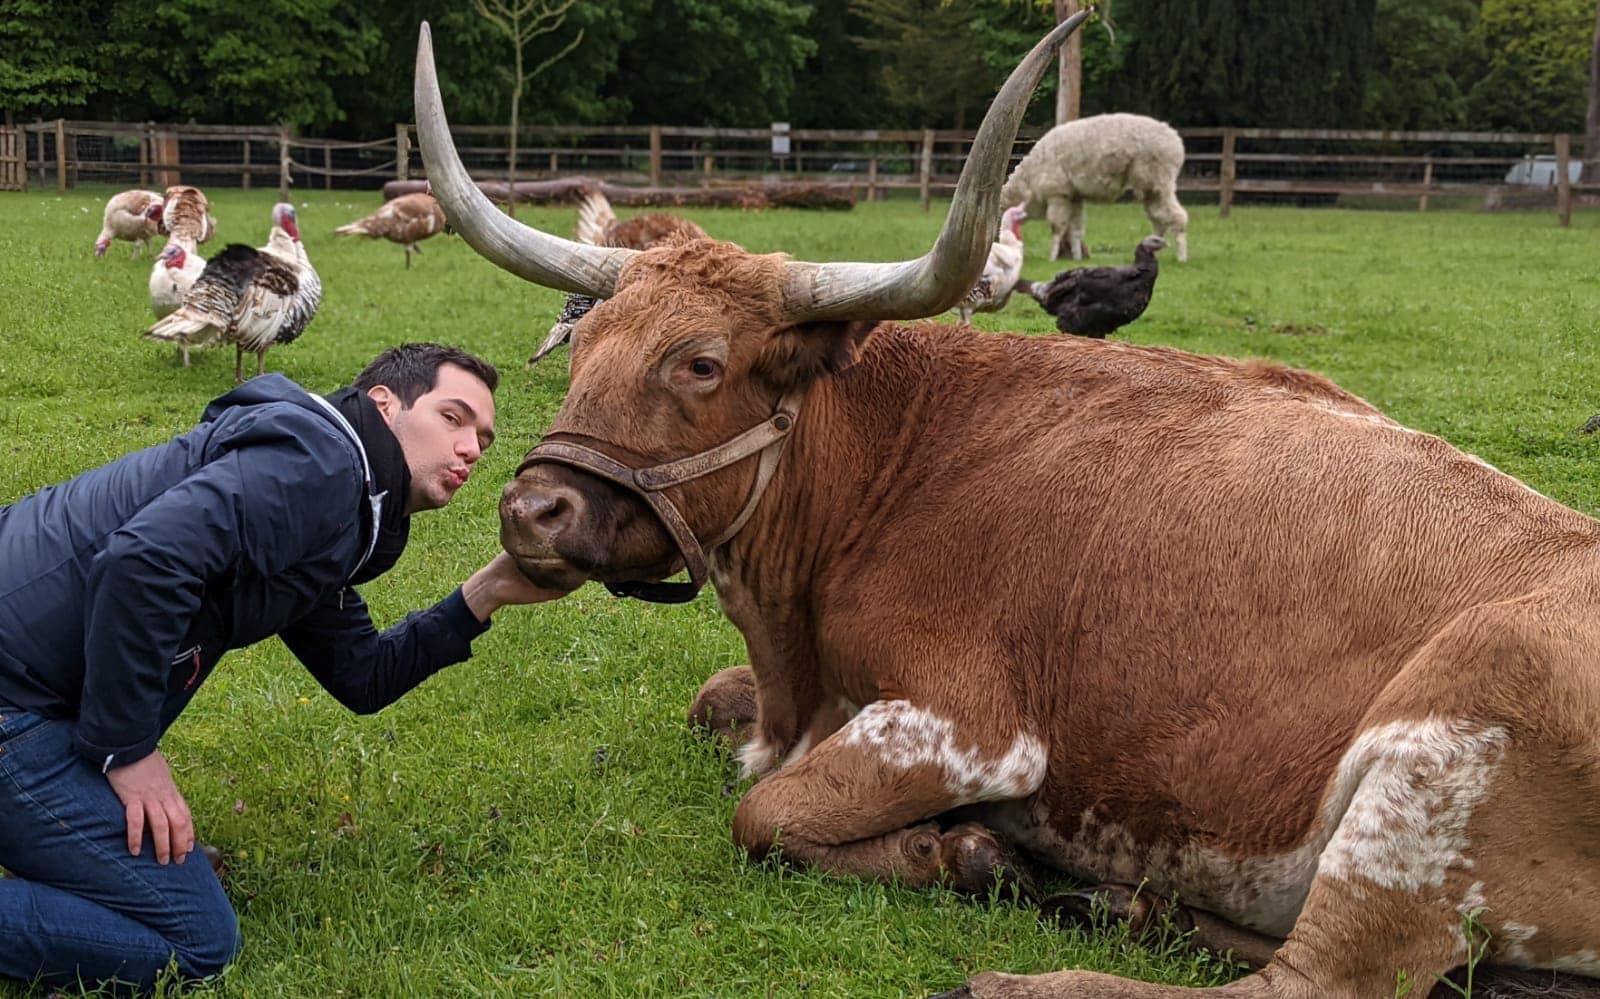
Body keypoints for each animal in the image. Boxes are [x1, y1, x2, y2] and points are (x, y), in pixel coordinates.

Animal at [416, 17, 1600, 999]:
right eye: (580, 344)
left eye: (700, 363)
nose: (533, 510)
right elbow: (715, 707)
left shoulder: (974, 731)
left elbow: (766, 810)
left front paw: (966, 848)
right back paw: (1127, 904)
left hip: (1441, 746)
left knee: (1313, 983)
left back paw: (1022, 970)